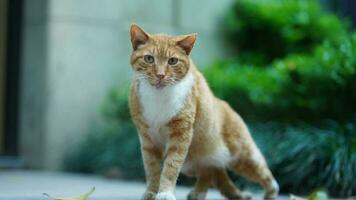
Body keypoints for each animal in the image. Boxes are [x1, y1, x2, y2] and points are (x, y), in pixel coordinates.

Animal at [128, 24, 278, 199]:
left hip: (241, 156)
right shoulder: (147, 140)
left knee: (263, 173)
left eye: (172, 61)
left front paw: (165, 192)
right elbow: (152, 169)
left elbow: (171, 167)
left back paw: (270, 192)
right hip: (192, 163)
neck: (158, 97)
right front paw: (152, 191)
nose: (160, 75)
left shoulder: (180, 137)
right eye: (149, 59)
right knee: (209, 172)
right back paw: (199, 193)